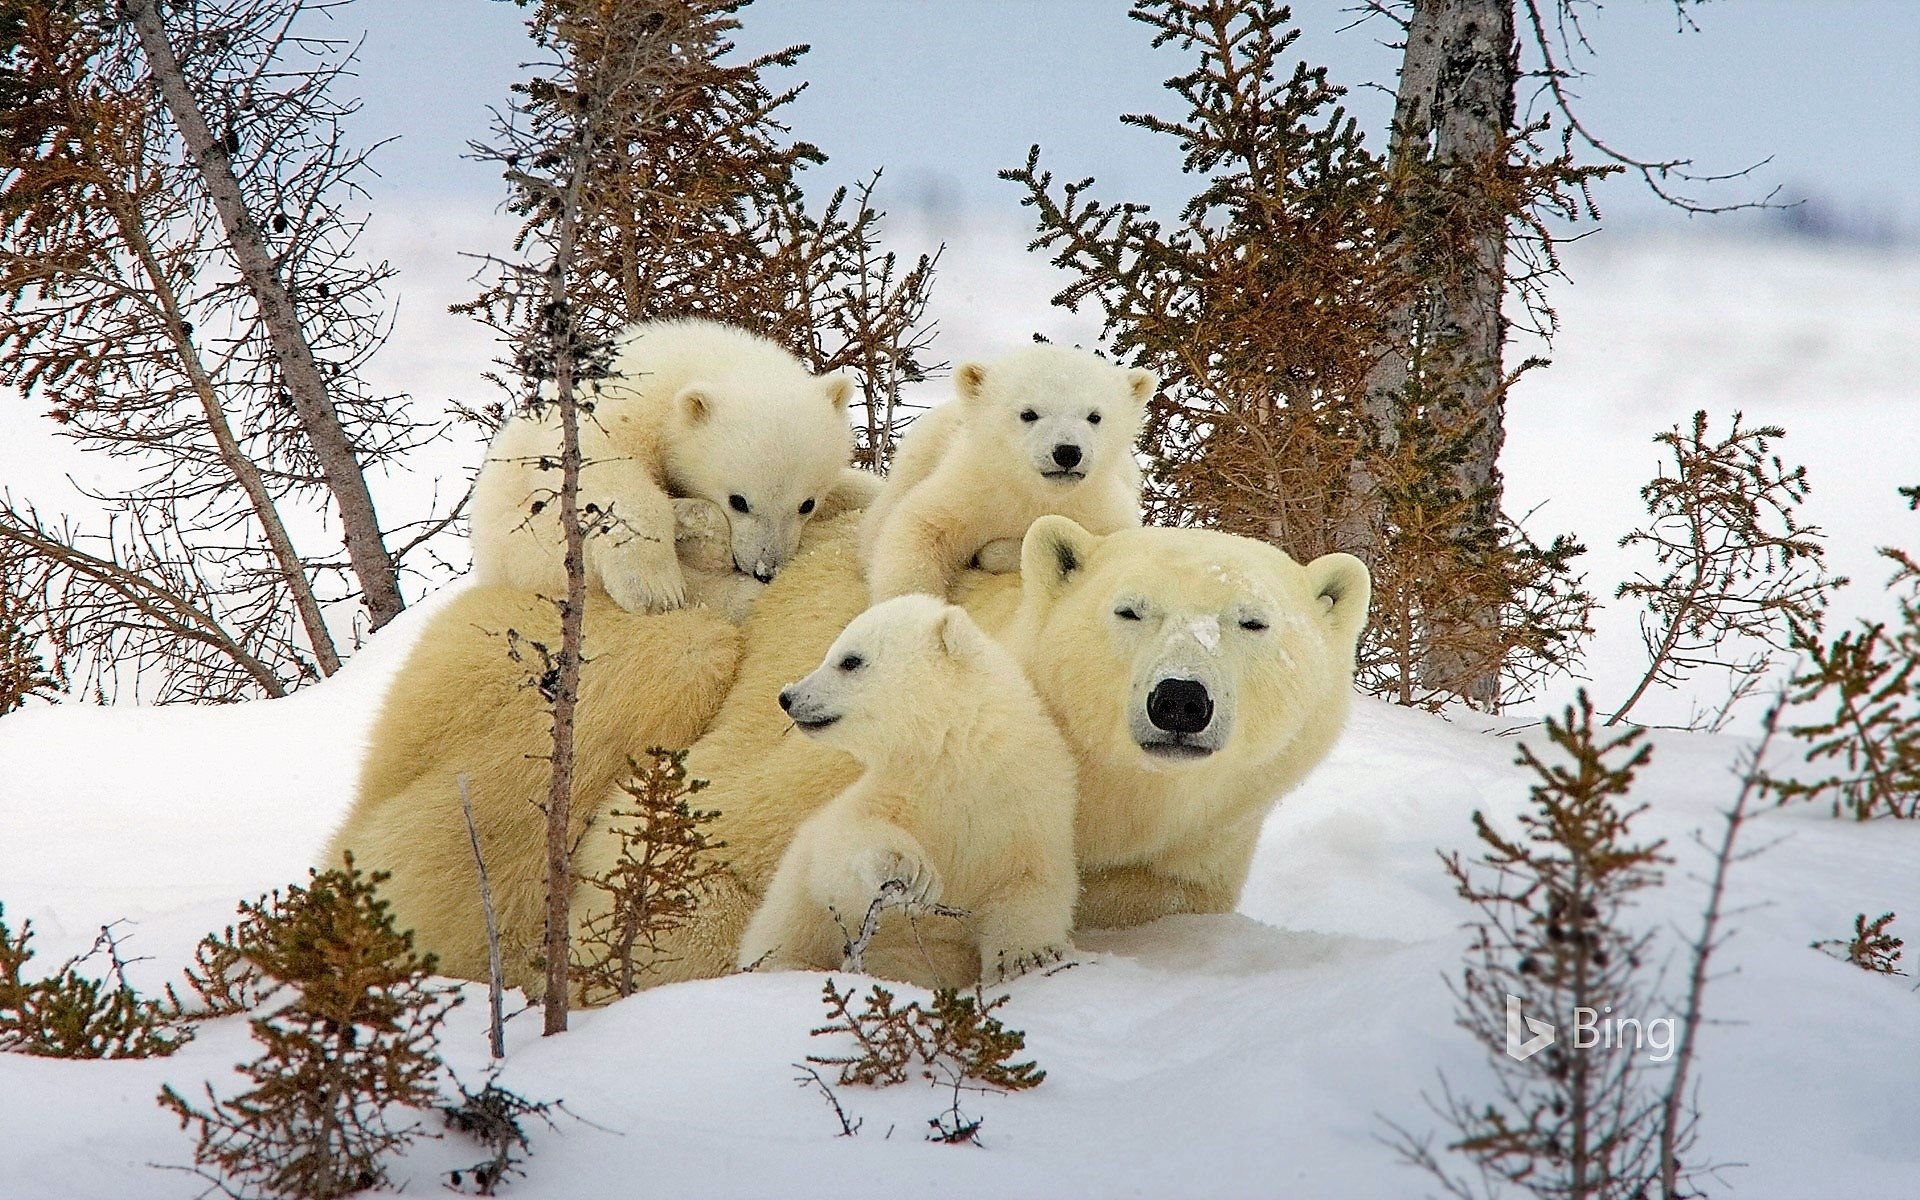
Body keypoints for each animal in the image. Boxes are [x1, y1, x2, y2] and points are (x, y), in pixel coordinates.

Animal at [468, 316, 860, 606]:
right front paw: (655, 587)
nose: (765, 570)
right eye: (739, 501)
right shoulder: (612, 414)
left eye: (807, 504)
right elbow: (602, 470)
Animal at [737, 595, 1082, 983]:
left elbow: (1029, 881)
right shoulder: (898, 793)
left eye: (850, 660)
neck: (957, 757)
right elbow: (838, 851)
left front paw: (1028, 958)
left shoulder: (1028, 803)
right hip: (790, 916)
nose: (787, 696)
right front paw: (911, 869)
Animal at [860, 349, 1152, 602]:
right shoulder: (973, 489)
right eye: (1028, 414)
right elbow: (919, 528)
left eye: (1094, 416)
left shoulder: (1100, 509)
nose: (1067, 452)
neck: (1035, 492)